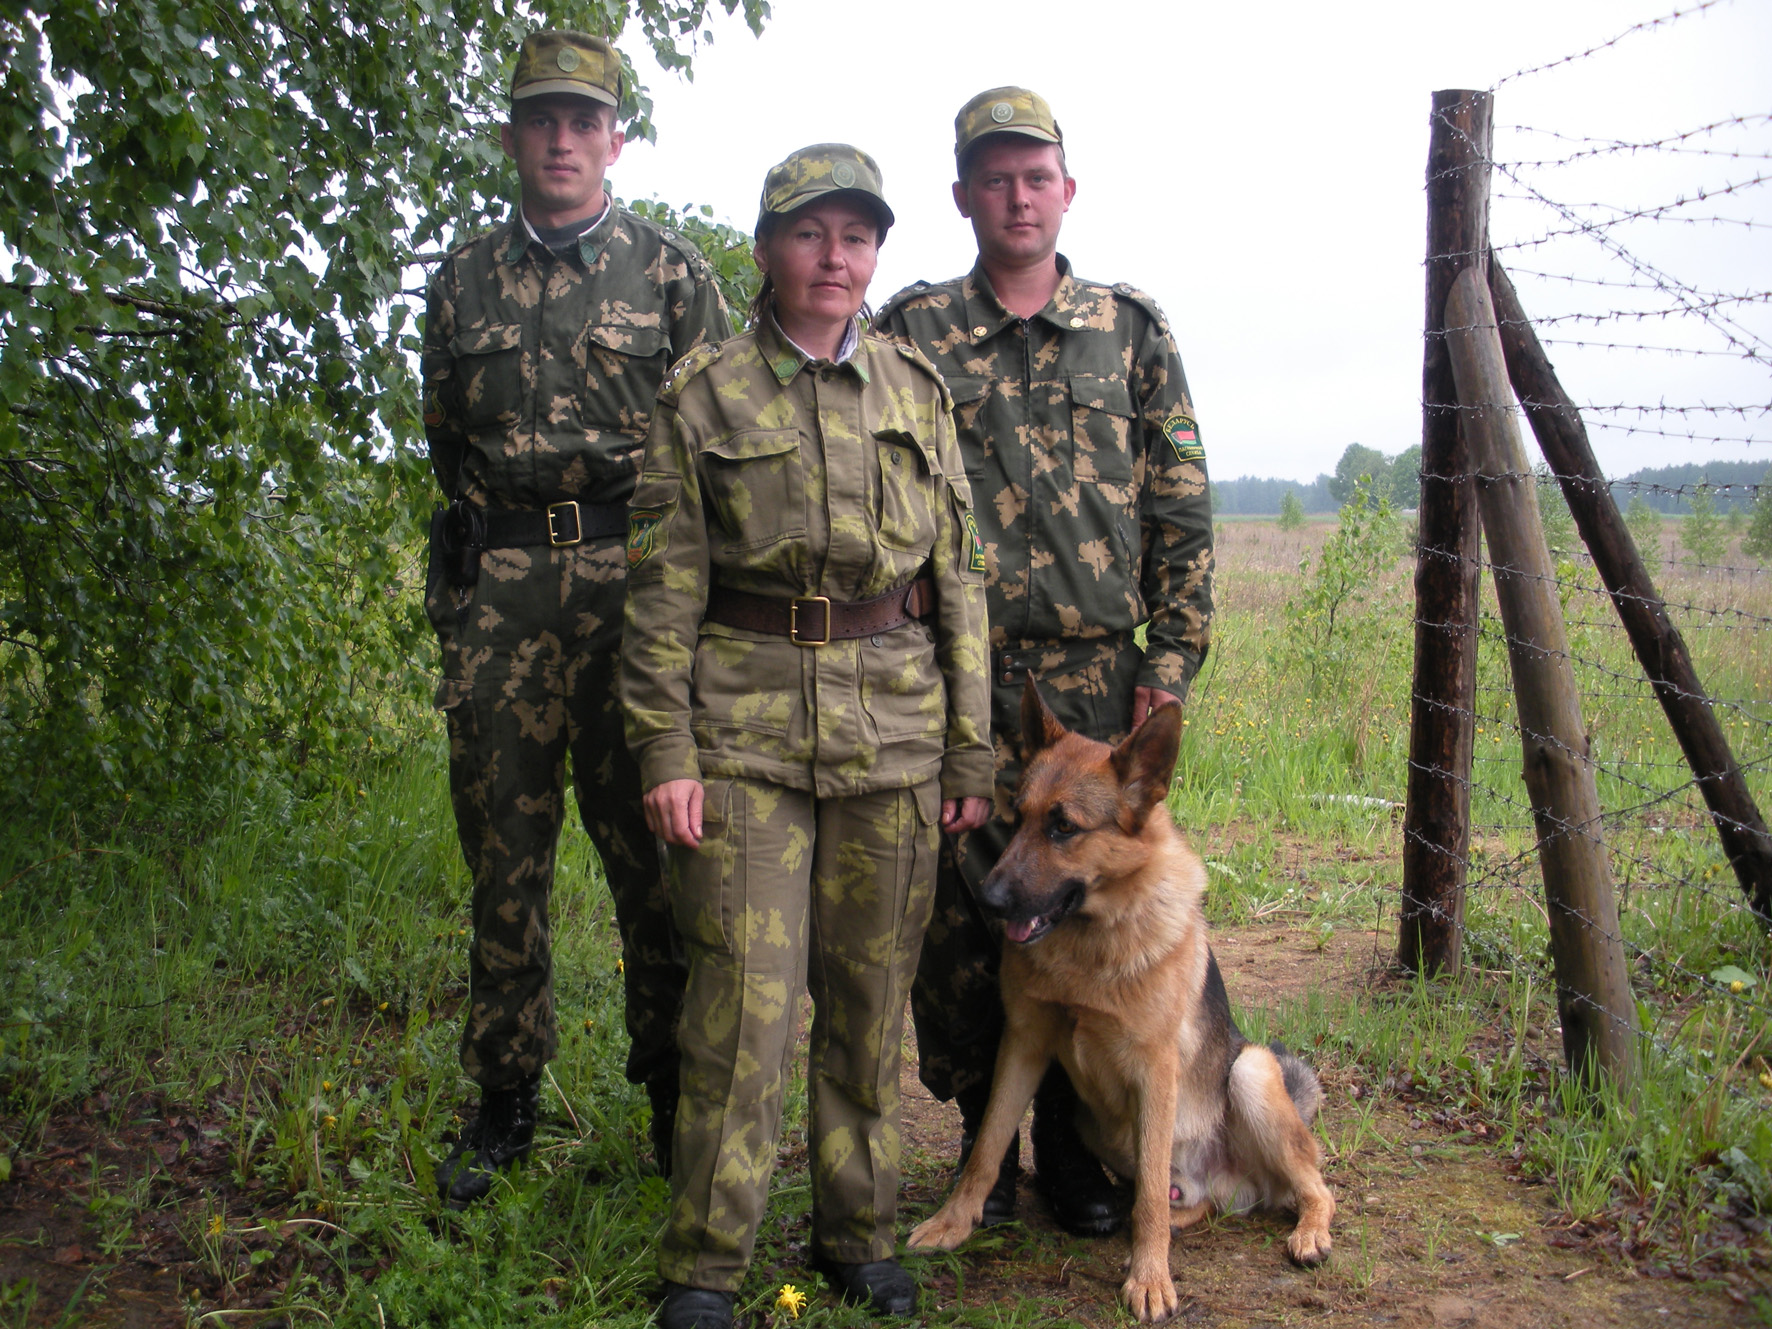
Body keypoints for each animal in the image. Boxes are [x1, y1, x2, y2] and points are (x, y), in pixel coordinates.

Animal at [914, 680, 1332, 1325]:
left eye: (1063, 827)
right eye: (1018, 817)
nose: (988, 899)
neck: (1090, 945)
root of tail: (1231, 1184)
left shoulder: (1155, 1070)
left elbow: (1149, 1202)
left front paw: (1150, 1279)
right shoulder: (1023, 1045)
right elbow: (987, 1145)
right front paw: (953, 1224)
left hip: (1251, 1072)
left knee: (1311, 1186)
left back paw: (1309, 1233)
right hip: (1098, 1124)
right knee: (1183, 1199)